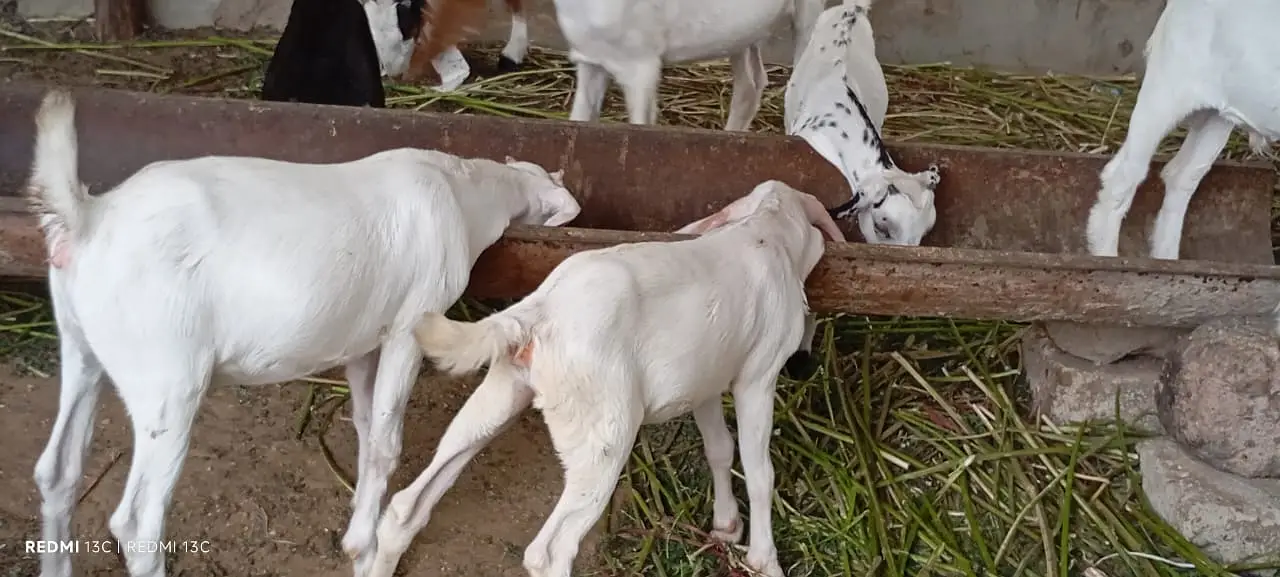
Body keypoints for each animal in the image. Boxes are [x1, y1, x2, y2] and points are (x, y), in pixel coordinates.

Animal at [26, 89, 581, 577]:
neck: (462, 194)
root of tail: (88, 217)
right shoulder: (409, 327)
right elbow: (387, 443)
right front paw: (364, 548)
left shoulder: (364, 340)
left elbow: (366, 428)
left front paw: (359, 526)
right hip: (168, 381)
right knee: (137, 522)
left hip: (83, 348)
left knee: (57, 472)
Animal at [366, 180, 846, 577]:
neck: (765, 229)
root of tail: (539, 313)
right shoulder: (758, 376)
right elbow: (760, 471)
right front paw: (764, 559)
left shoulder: (705, 379)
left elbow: (720, 449)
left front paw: (726, 525)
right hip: (601, 435)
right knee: (549, 552)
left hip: (504, 389)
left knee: (407, 506)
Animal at [554, 0, 825, 130]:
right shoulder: (591, 61)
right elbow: (578, 121)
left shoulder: (642, 66)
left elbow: (640, 125)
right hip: (740, 34)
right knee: (751, 83)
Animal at [1085, 0, 1280, 260]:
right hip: (1166, 90)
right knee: (1124, 175)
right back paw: (1107, 256)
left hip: (1215, 115)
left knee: (1182, 176)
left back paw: (1166, 259)